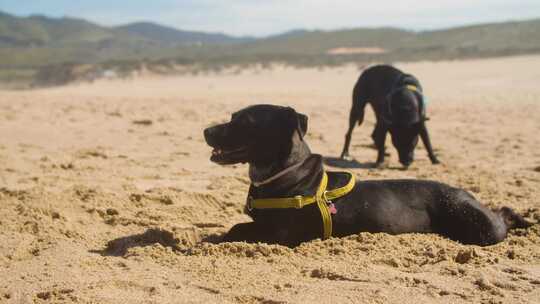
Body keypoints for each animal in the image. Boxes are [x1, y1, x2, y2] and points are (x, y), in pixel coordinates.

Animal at [202, 104, 528, 247]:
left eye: (244, 121)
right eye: (232, 116)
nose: (205, 130)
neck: (284, 172)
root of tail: (465, 192)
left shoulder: (281, 235)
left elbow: (238, 229)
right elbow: (238, 225)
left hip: (480, 229)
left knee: (500, 219)